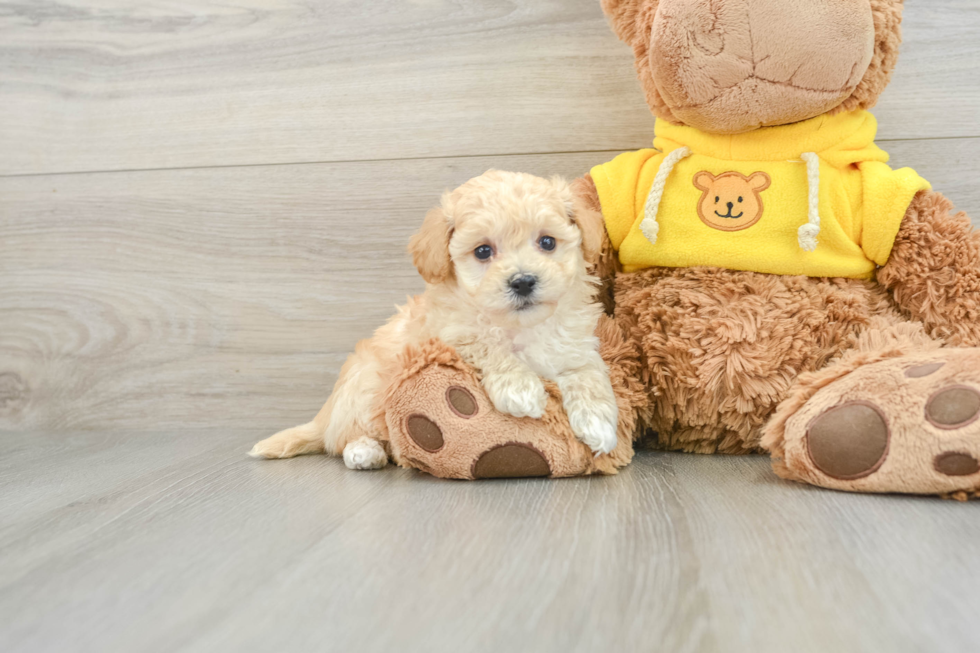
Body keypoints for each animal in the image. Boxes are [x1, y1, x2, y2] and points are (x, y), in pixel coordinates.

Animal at [253, 171, 620, 466]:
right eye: (483, 251)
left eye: (547, 242)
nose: (523, 281)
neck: (520, 326)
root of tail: (325, 416)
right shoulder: (450, 333)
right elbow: (487, 344)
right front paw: (520, 388)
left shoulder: (575, 345)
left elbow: (587, 372)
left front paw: (598, 423)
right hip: (366, 386)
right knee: (345, 438)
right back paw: (365, 452)